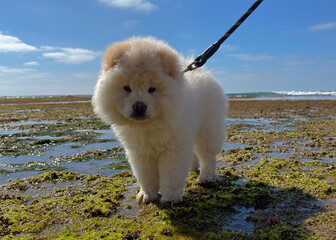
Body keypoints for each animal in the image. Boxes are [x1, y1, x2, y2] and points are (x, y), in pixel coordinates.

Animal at [93, 36, 227, 203]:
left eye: (152, 89)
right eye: (127, 88)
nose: (139, 106)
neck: (148, 126)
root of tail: (205, 73)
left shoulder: (174, 148)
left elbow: (171, 175)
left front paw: (170, 198)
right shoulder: (140, 152)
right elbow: (146, 176)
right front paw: (147, 195)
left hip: (208, 129)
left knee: (207, 155)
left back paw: (205, 177)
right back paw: (192, 167)